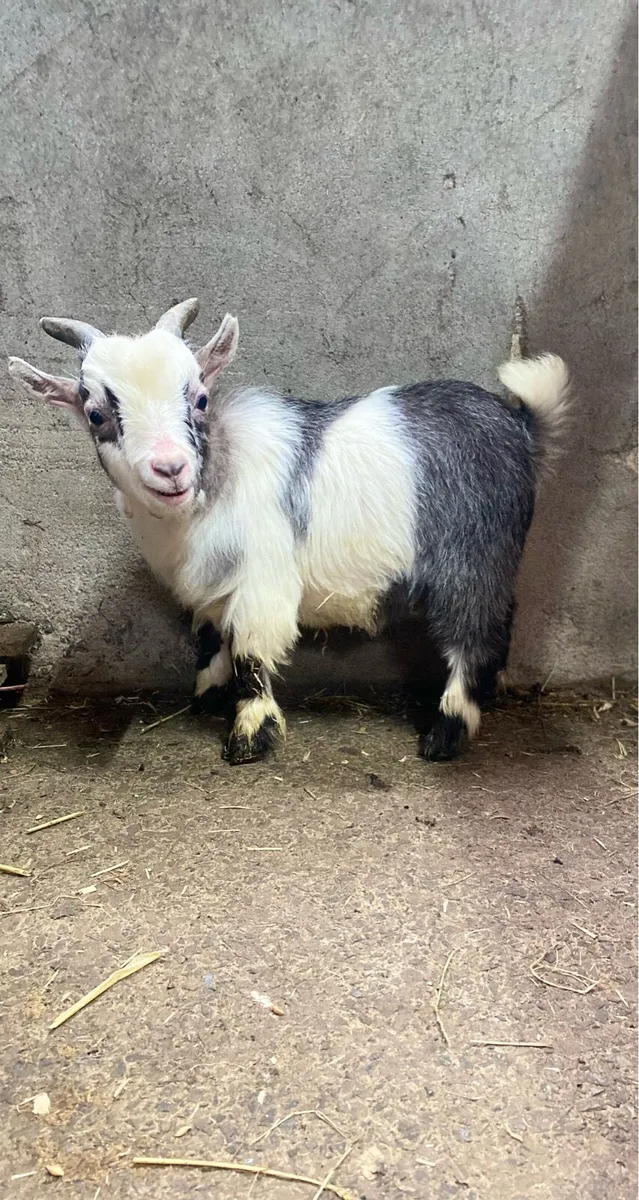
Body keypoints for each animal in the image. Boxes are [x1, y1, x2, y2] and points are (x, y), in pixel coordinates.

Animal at [9, 299, 570, 764]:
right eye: (95, 413)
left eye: (201, 398)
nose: (170, 469)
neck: (219, 477)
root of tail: (524, 428)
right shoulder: (214, 589)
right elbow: (211, 642)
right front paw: (208, 699)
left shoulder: (262, 582)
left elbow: (250, 656)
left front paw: (248, 738)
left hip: (472, 562)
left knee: (473, 637)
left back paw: (445, 735)